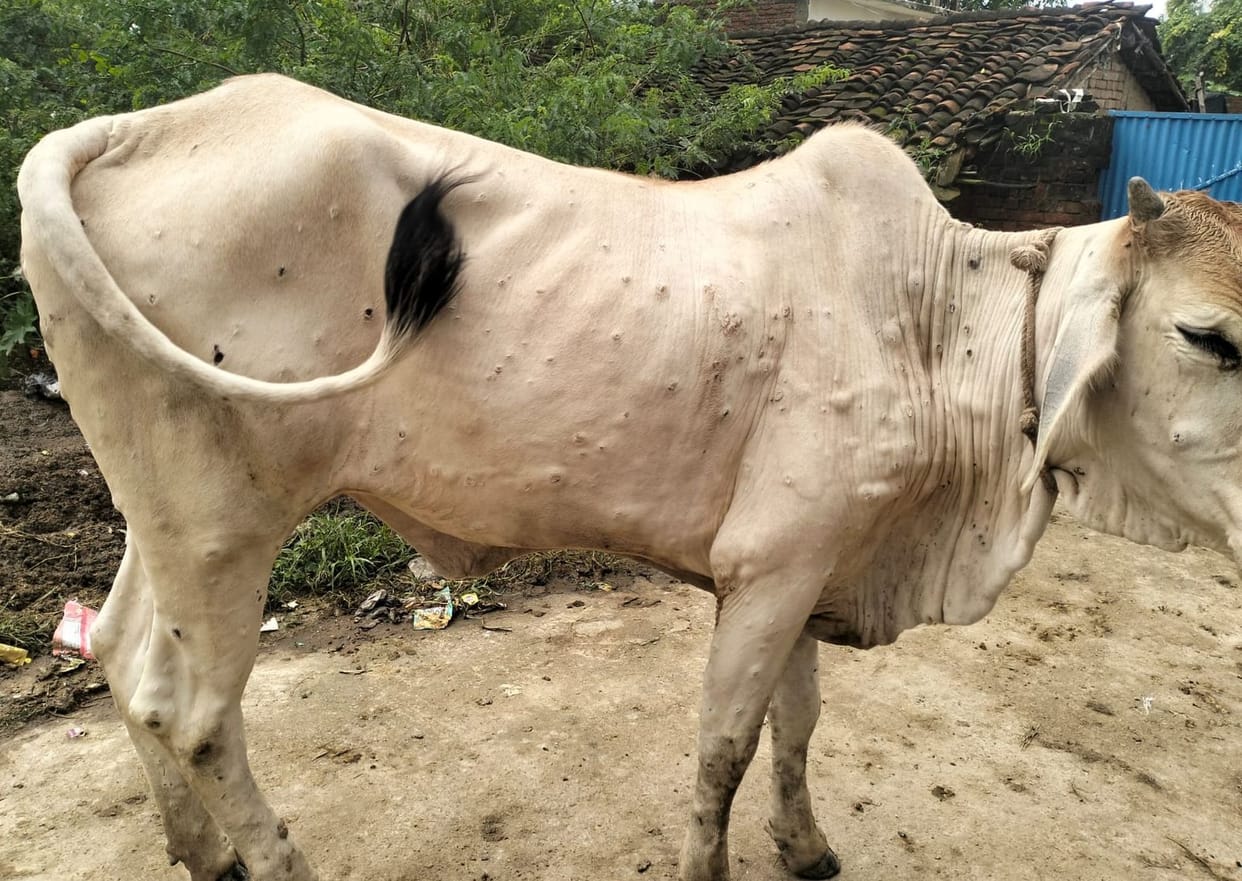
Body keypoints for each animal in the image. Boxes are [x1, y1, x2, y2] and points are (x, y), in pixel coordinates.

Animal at [16, 73, 1242, 881]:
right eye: (1209, 335)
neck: (940, 323)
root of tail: (127, 128)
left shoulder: (810, 564)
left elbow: (797, 723)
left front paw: (806, 845)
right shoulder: (771, 565)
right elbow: (725, 746)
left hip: (164, 514)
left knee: (124, 660)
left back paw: (204, 853)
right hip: (225, 521)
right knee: (195, 711)